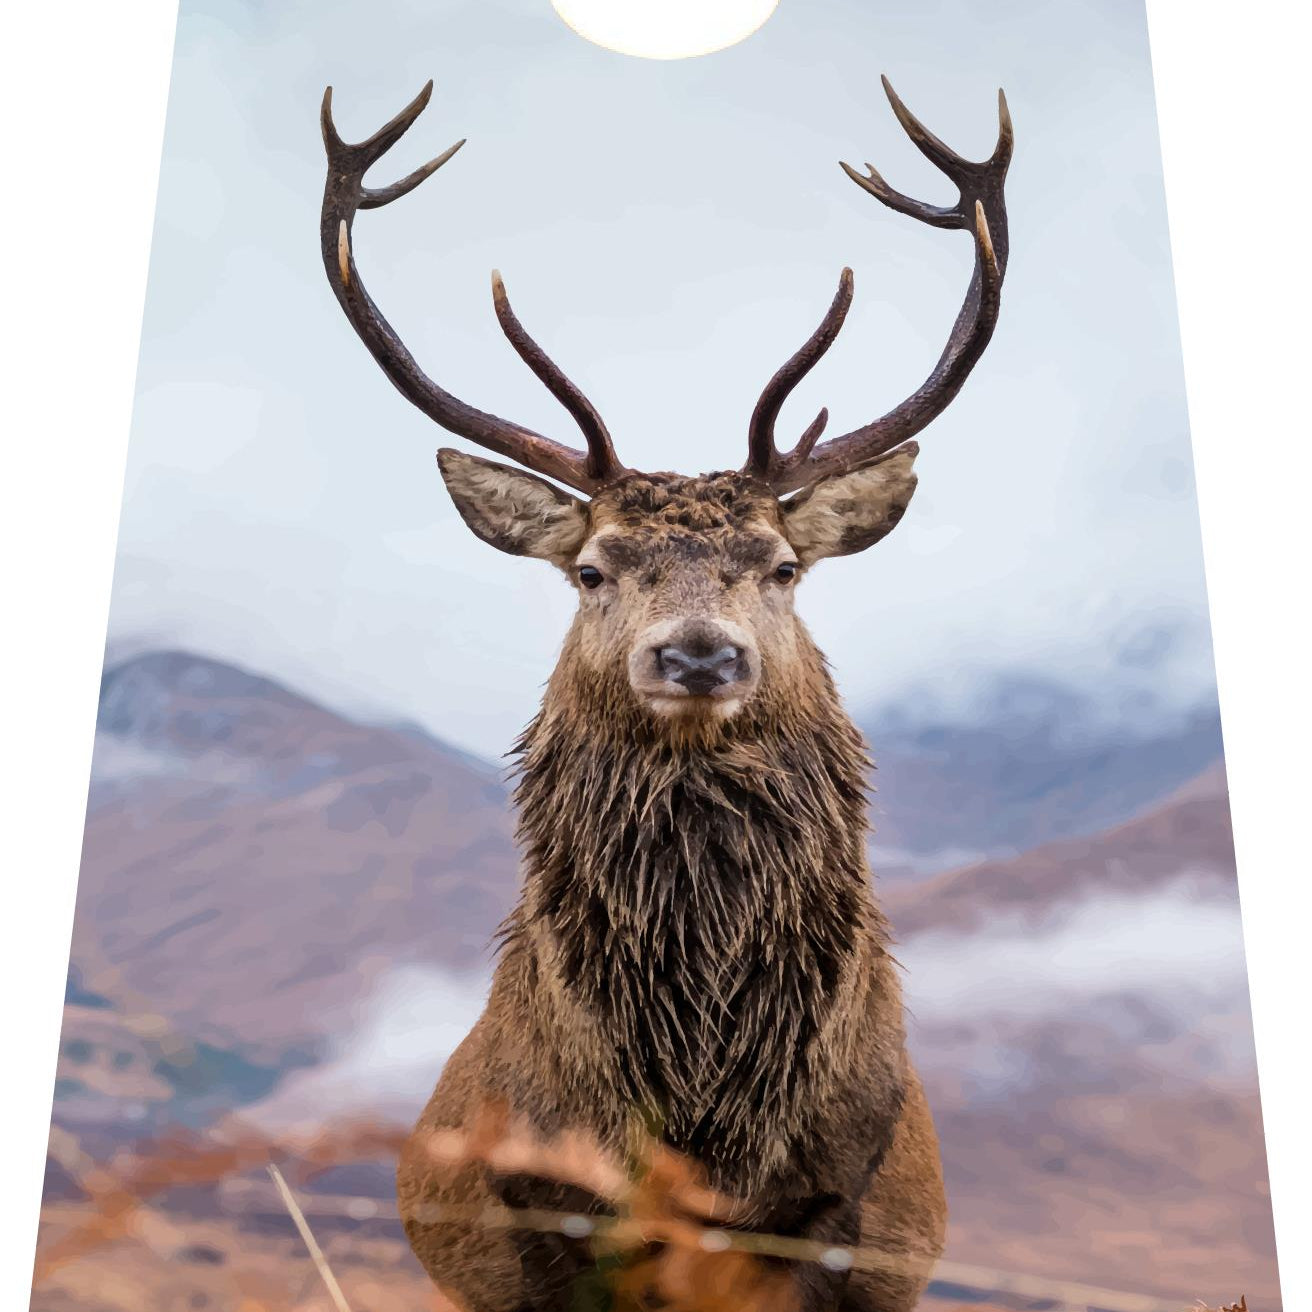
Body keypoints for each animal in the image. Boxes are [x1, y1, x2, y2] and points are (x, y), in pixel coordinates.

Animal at [320, 73, 1011, 1312]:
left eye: (781, 567)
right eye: (592, 569)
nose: (697, 655)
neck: (703, 1122)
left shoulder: (847, 1224)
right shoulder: (533, 1220)